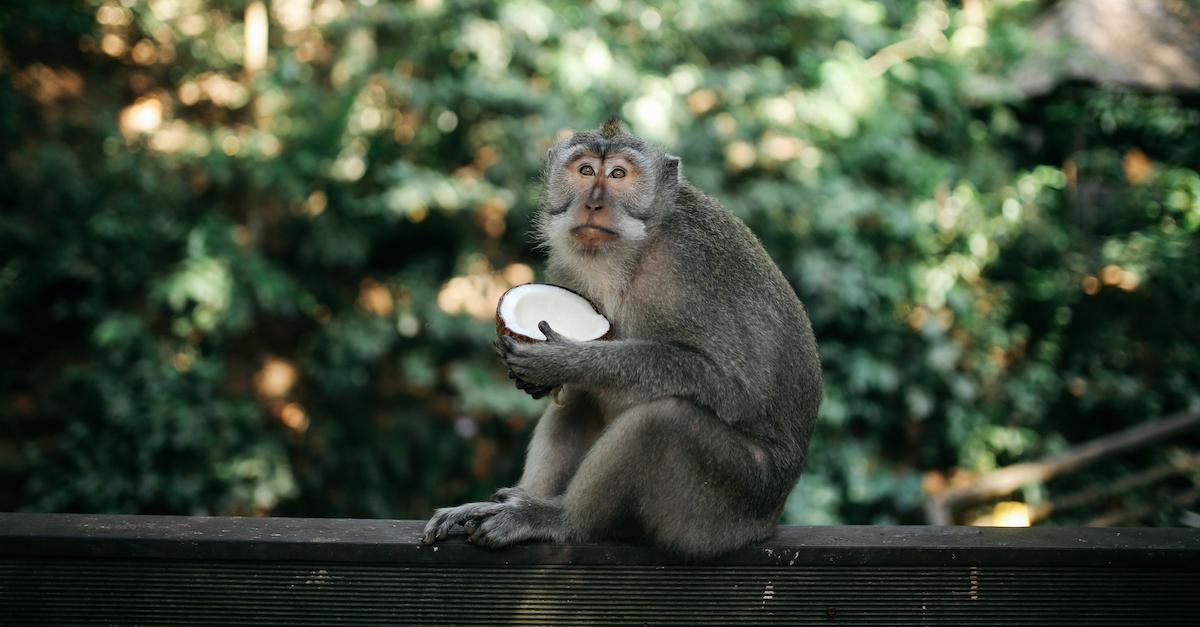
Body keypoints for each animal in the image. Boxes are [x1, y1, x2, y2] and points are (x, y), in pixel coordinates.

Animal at [424, 118, 825, 557]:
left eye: (618, 174)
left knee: (661, 422)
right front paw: (539, 379)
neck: (633, 251)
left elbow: (733, 387)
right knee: (581, 403)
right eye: (585, 171)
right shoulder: (567, 266)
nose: (594, 204)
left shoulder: (695, 264)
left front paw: (566, 360)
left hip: (725, 509)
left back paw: (557, 519)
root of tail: (767, 522)